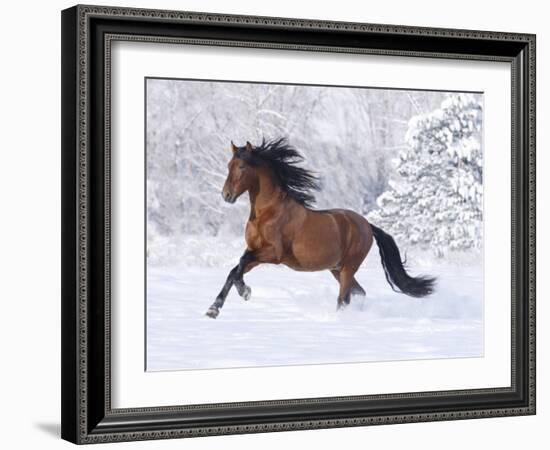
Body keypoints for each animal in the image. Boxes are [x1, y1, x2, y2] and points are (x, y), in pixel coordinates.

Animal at [205, 139, 438, 318]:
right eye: (228, 165)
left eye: (242, 167)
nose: (226, 195)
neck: (268, 213)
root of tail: (367, 225)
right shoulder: (255, 251)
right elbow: (235, 270)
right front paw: (215, 308)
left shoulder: (273, 254)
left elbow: (241, 263)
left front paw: (244, 292)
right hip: (336, 268)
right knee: (359, 292)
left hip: (348, 268)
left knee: (344, 298)